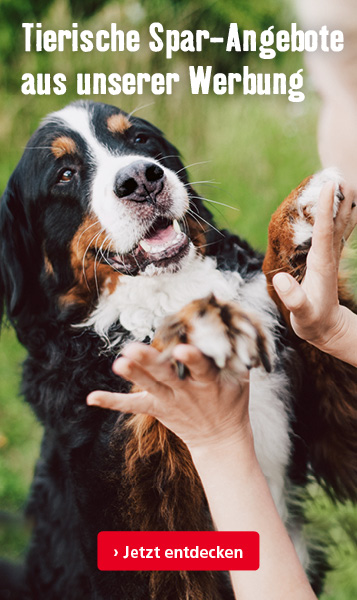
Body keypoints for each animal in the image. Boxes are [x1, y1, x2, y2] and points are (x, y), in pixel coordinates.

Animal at [0, 101, 356, 596]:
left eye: (139, 140)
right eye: (65, 174)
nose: (140, 179)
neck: (170, 290)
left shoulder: (328, 427)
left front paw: (300, 211)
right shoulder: (138, 522)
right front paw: (196, 326)